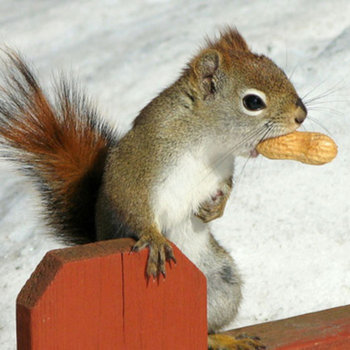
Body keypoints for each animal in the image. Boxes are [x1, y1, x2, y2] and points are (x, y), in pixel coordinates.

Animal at [0, 28, 306, 350]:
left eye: (281, 72)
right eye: (253, 102)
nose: (301, 115)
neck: (209, 143)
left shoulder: (223, 170)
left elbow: (226, 187)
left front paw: (216, 208)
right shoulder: (137, 161)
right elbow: (128, 199)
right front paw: (154, 238)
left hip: (224, 283)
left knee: (204, 326)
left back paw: (225, 339)